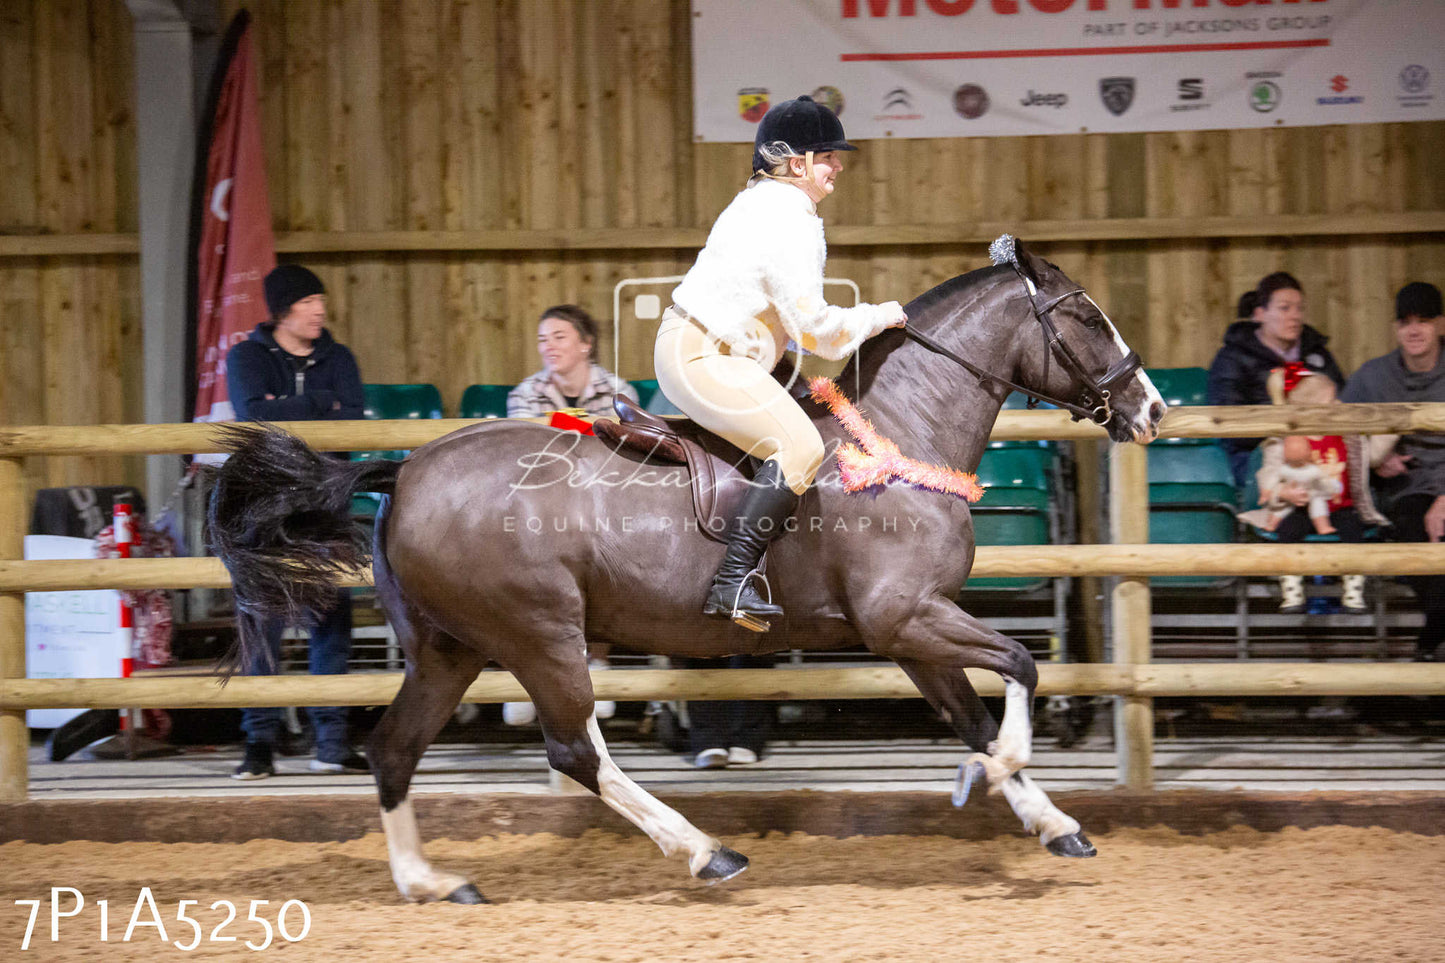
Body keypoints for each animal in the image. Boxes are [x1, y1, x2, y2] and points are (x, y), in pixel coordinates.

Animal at [209, 238, 1167, 902]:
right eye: (1085, 315)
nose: (1151, 408)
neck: (899, 435)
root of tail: (403, 471)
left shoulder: (912, 631)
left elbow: (973, 712)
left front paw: (1050, 821)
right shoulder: (905, 615)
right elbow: (1021, 666)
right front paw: (998, 775)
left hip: (450, 647)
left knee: (395, 749)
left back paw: (430, 882)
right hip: (538, 632)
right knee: (572, 748)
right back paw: (706, 850)